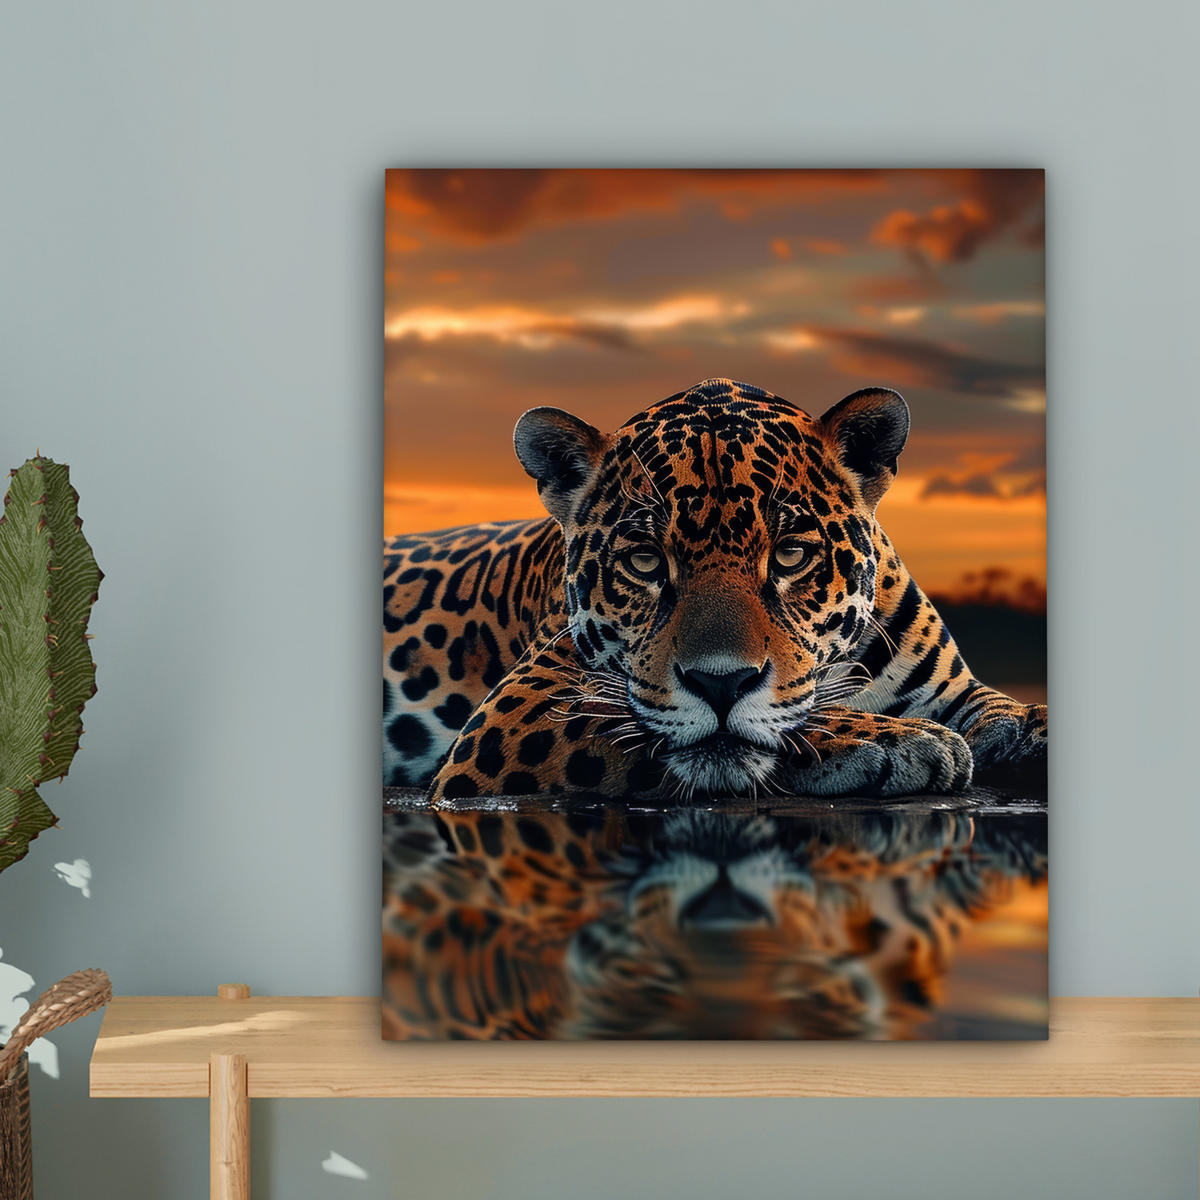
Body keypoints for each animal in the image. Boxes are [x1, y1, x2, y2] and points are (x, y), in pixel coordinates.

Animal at [383, 378, 1046, 803]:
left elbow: (996, 705)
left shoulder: (952, 688)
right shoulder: (518, 710)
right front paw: (898, 739)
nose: (720, 684)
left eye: (790, 554)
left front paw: (1029, 728)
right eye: (646, 561)